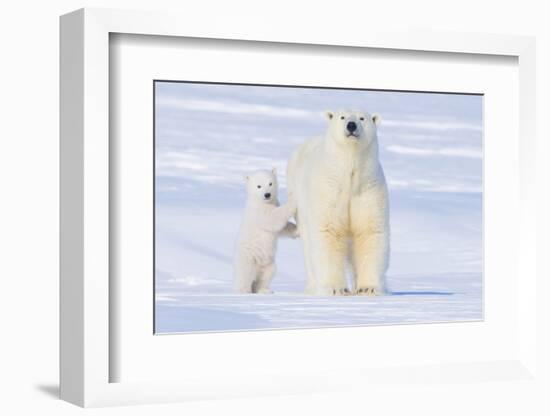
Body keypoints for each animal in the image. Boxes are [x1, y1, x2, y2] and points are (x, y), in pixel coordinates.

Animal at [286, 109, 390, 296]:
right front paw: (336, 289)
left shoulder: (368, 188)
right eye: (342, 117)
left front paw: (368, 288)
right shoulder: (329, 190)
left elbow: (369, 231)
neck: (349, 176)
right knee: (308, 247)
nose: (351, 125)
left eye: (362, 118)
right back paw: (313, 287)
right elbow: (328, 231)